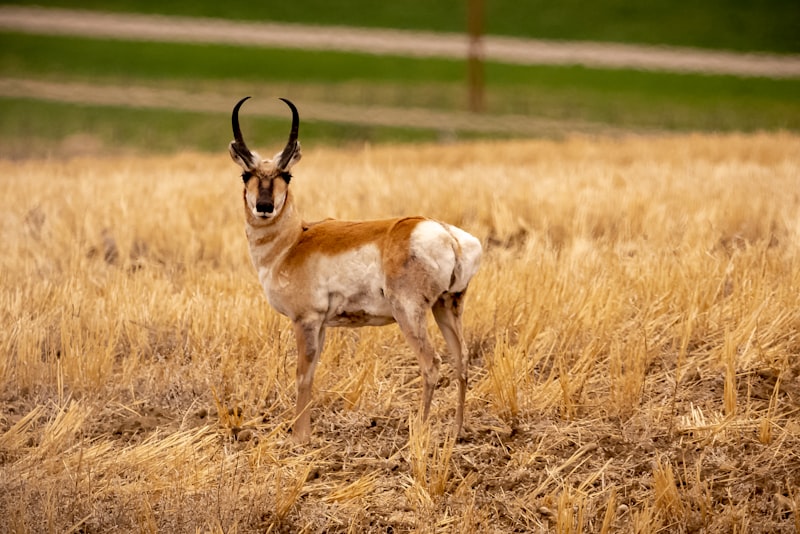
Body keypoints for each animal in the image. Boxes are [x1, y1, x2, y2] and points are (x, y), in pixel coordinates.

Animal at [229, 97, 482, 442]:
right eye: (246, 175)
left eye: (287, 175)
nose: (264, 207)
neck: (293, 241)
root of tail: (445, 233)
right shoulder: (321, 325)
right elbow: (312, 373)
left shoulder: (305, 320)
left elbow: (301, 374)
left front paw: (299, 438)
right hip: (447, 308)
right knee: (462, 359)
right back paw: (456, 433)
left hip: (410, 313)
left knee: (431, 364)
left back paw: (418, 432)